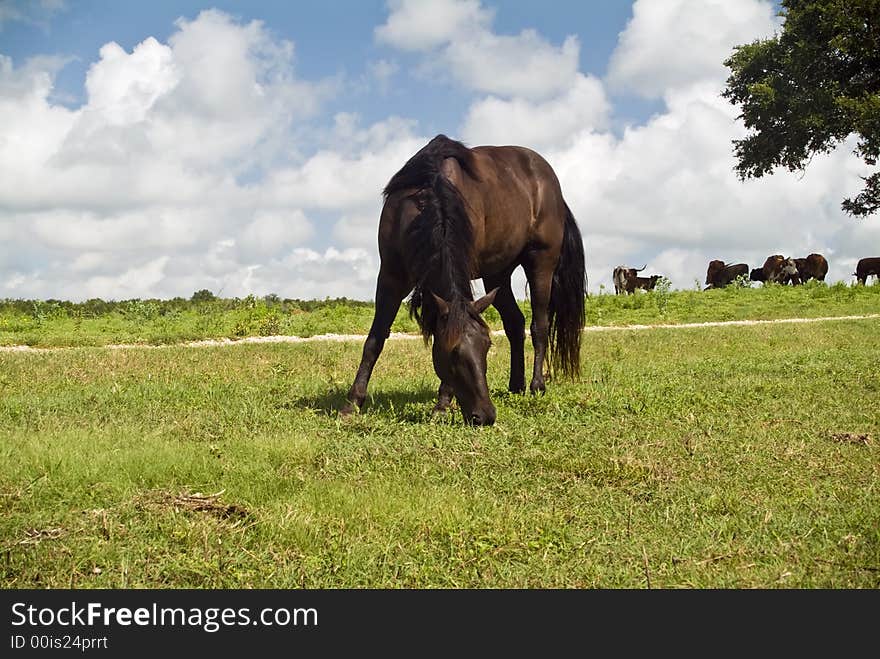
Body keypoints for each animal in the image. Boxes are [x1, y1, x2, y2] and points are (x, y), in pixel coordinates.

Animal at [340, 133, 588, 428]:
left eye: (486, 347)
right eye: (453, 352)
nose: (486, 415)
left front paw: (442, 405)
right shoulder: (390, 277)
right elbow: (375, 339)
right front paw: (352, 403)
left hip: (541, 262)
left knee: (539, 325)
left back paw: (536, 385)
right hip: (497, 274)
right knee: (515, 323)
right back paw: (515, 385)